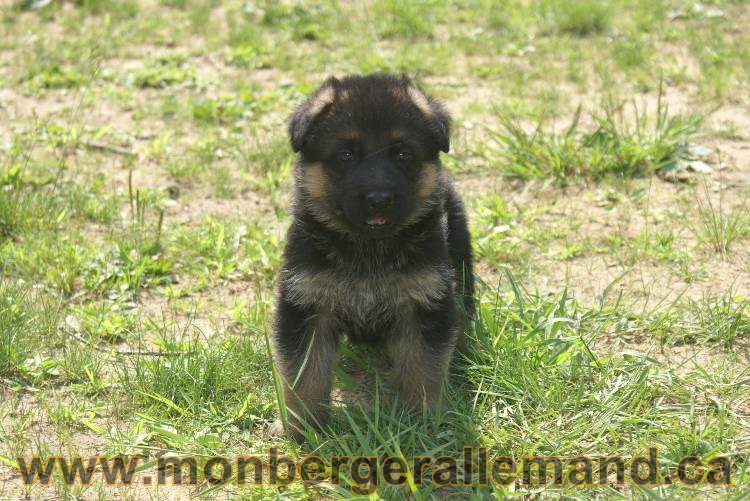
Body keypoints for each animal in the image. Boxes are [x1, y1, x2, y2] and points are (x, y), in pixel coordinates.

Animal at [274, 74, 476, 438]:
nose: (379, 198)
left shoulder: (423, 302)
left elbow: (423, 369)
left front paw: (422, 422)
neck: (368, 248)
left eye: (402, 153)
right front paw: (304, 428)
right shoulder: (306, 303)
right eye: (345, 155)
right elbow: (304, 374)